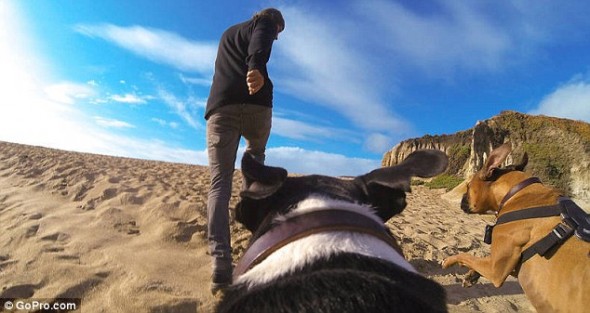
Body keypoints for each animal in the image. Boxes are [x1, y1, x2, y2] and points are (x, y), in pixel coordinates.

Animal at [444, 143, 590, 310]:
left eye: (468, 186)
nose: (462, 199)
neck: (516, 194)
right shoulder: (508, 266)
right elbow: (478, 260)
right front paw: (471, 276)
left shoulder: (495, 270)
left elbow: (466, 256)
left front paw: (449, 261)